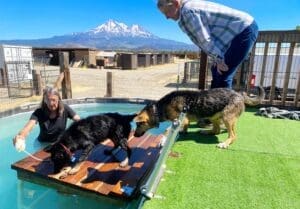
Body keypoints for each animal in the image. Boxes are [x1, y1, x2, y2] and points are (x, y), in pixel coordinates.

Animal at [133, 87, 262, 149]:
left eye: (138, 124)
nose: (134, 135)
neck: (158, 108)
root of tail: (239, 94)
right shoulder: (184, 120)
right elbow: (182, 127)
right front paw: (182, 131)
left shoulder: (181, 119)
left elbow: (166, 130)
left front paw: (163, 141)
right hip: (214, 115)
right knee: (216, 130)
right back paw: (206, 131)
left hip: (227, 118)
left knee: (233, 135)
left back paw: (225, 144)